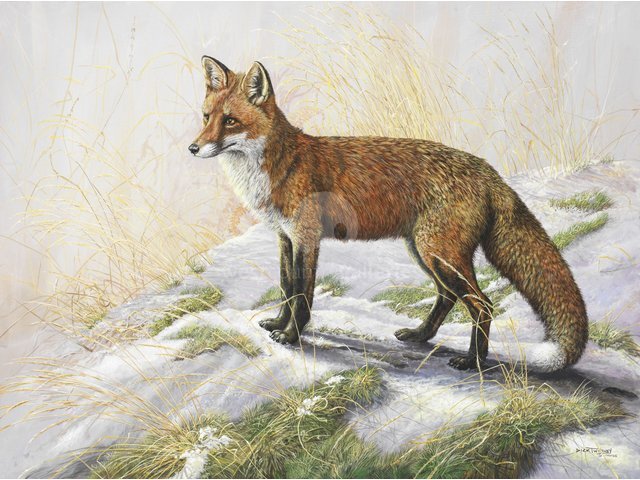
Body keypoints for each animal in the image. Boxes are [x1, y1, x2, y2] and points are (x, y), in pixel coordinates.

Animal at [188, 56, 589, 372]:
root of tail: (489, 171)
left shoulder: (307, 237)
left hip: (439, 252)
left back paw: (473, 361)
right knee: (448, 297)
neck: (280, 166)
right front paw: (277, 323)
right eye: (206, 117)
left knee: (481, 303)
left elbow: (303, 294)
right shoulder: (285, 237)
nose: (193, 148)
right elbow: (287, 287)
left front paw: (292, 335)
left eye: (230, 121)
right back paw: (420, 335)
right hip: (425, 251)